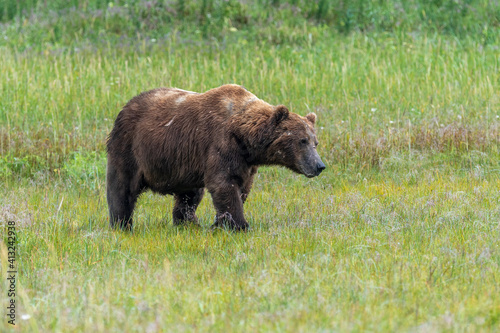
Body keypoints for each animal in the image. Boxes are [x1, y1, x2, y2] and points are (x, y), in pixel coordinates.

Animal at [106, 84, 324, 230]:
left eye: (315, 142)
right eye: (302, 140)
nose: (319, 165)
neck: (244, 137)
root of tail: (127, 105)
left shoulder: (246, 162)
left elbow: (242, 187)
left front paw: (220, 223)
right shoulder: (220, 144)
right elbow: (224, 184)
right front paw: (239, 225)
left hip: (185, 165)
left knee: (189, 195)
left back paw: (189, 223)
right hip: (131, 145)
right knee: (122, 186)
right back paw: (122, 224)